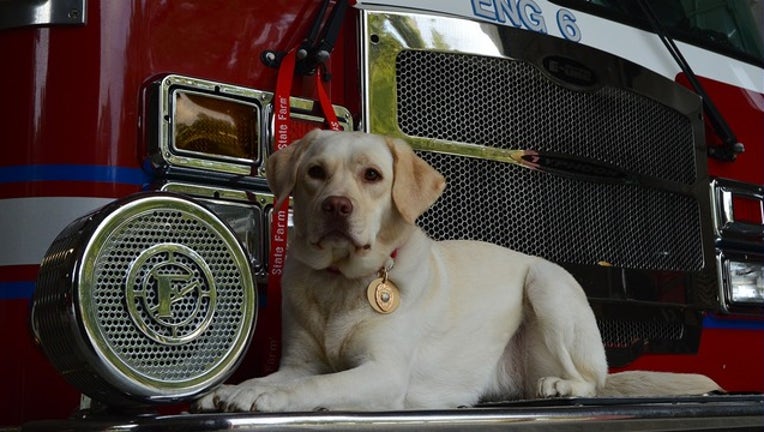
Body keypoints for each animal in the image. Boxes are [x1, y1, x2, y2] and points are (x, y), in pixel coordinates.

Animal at [194, 129, 720, 412]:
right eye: (315, 172)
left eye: (372, 176)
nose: (336, 206)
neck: (343, 281)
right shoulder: (298, 361)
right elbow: (280, 377)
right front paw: (235, 390)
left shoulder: (384, 372)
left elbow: (316, 385)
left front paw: (267, 400)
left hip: (547, 287)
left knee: (592, 382)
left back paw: (562, 385)